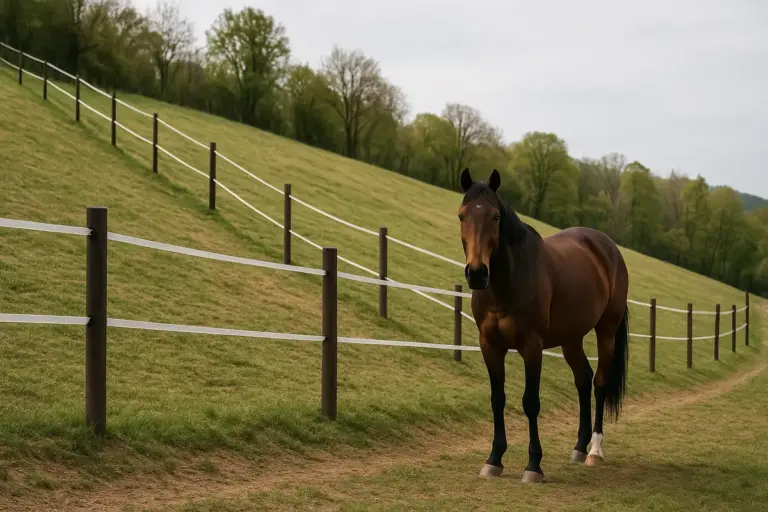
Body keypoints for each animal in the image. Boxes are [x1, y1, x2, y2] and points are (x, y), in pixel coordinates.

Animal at [457, 168, 630, 484]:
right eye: (462, 215)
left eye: (495, 216)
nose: (476, 273)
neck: (508, 283)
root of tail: (608, 247)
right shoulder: (489, 345)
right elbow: (497, 399)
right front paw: (494, 459)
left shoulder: (532, 346)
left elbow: (530, 402)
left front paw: (533, 465)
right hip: (571, 339)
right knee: (583, 379)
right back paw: (579, 447)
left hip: (606, 332)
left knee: (599, 383)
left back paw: (594, 451)